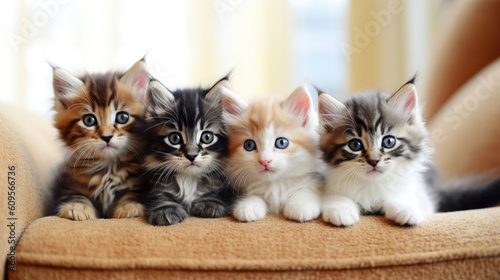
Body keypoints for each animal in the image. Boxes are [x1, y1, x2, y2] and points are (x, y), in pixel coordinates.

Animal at [53, 59, 150, 221]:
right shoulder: (67, 184)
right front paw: (77, 207)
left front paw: (130, 207)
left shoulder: (140, 183)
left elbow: (134, 193)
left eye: (122, 117)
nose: (106, 137)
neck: (108, 168)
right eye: (89, 120)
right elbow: (75, 195)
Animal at [143, 77, 232, 226]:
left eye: (207, 137)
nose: (191, 155)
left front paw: (210, 203)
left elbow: (216, 192)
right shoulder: (156, 183)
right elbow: (160, 195)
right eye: (174, 138)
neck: (189, 178)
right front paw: (166, 210)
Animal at [222, 86, 324, 222]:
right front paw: (249, 206)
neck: (275, 185)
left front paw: (301, 205)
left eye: (281, 142)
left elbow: (306, 190)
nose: (265, 161)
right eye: (249, 145)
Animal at [318, 77, 498, 226]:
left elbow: (404, 197)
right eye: (355, 145)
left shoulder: (421, 192)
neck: (372, 185)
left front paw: (405, 209)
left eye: (388, 141)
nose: (374, 161)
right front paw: (341, 210)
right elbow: (335, 197)